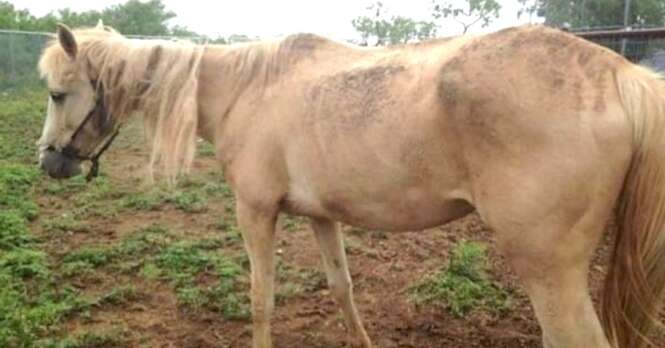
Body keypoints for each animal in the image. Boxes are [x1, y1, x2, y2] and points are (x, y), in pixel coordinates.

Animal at [36, 21, 664, 348]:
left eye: (58, 94)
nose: (47, 162)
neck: (247, 89)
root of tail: (624, 76)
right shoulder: (322, 216)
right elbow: (343, 289)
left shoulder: (254, 212)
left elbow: (261, 299)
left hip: (548, 273)